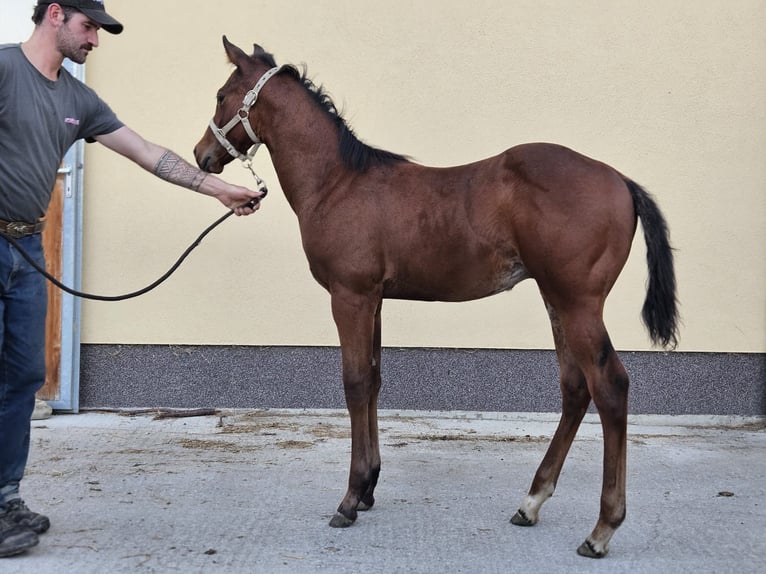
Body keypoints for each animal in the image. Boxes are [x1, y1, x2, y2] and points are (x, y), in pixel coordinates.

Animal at [194, 37, 679, 558]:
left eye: (220, 95)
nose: (201, 155)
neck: (338, 182)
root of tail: (621, 181)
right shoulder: (375, 300)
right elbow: (374, 380)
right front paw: (369, 489)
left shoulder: (350, 297)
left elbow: (355, 384)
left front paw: (349, 498)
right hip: (557, 300)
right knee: (574, 387)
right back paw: (531, 502)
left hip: (578, 303)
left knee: (610, 386)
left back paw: (602, 529)